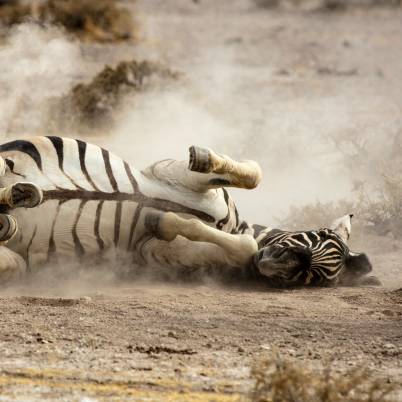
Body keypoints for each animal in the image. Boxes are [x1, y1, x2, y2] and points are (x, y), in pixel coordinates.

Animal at [0, 137, 378, 288]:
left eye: (311, 278)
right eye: (319, 235)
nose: (276, 263)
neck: (233, 225)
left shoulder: (152, 253)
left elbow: (239, 246)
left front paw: (162, 220)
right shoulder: (170, 174)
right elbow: (253, 175)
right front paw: (204, 157)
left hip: (16, 263)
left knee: (10, 245)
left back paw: (12, 210)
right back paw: (19, 196)